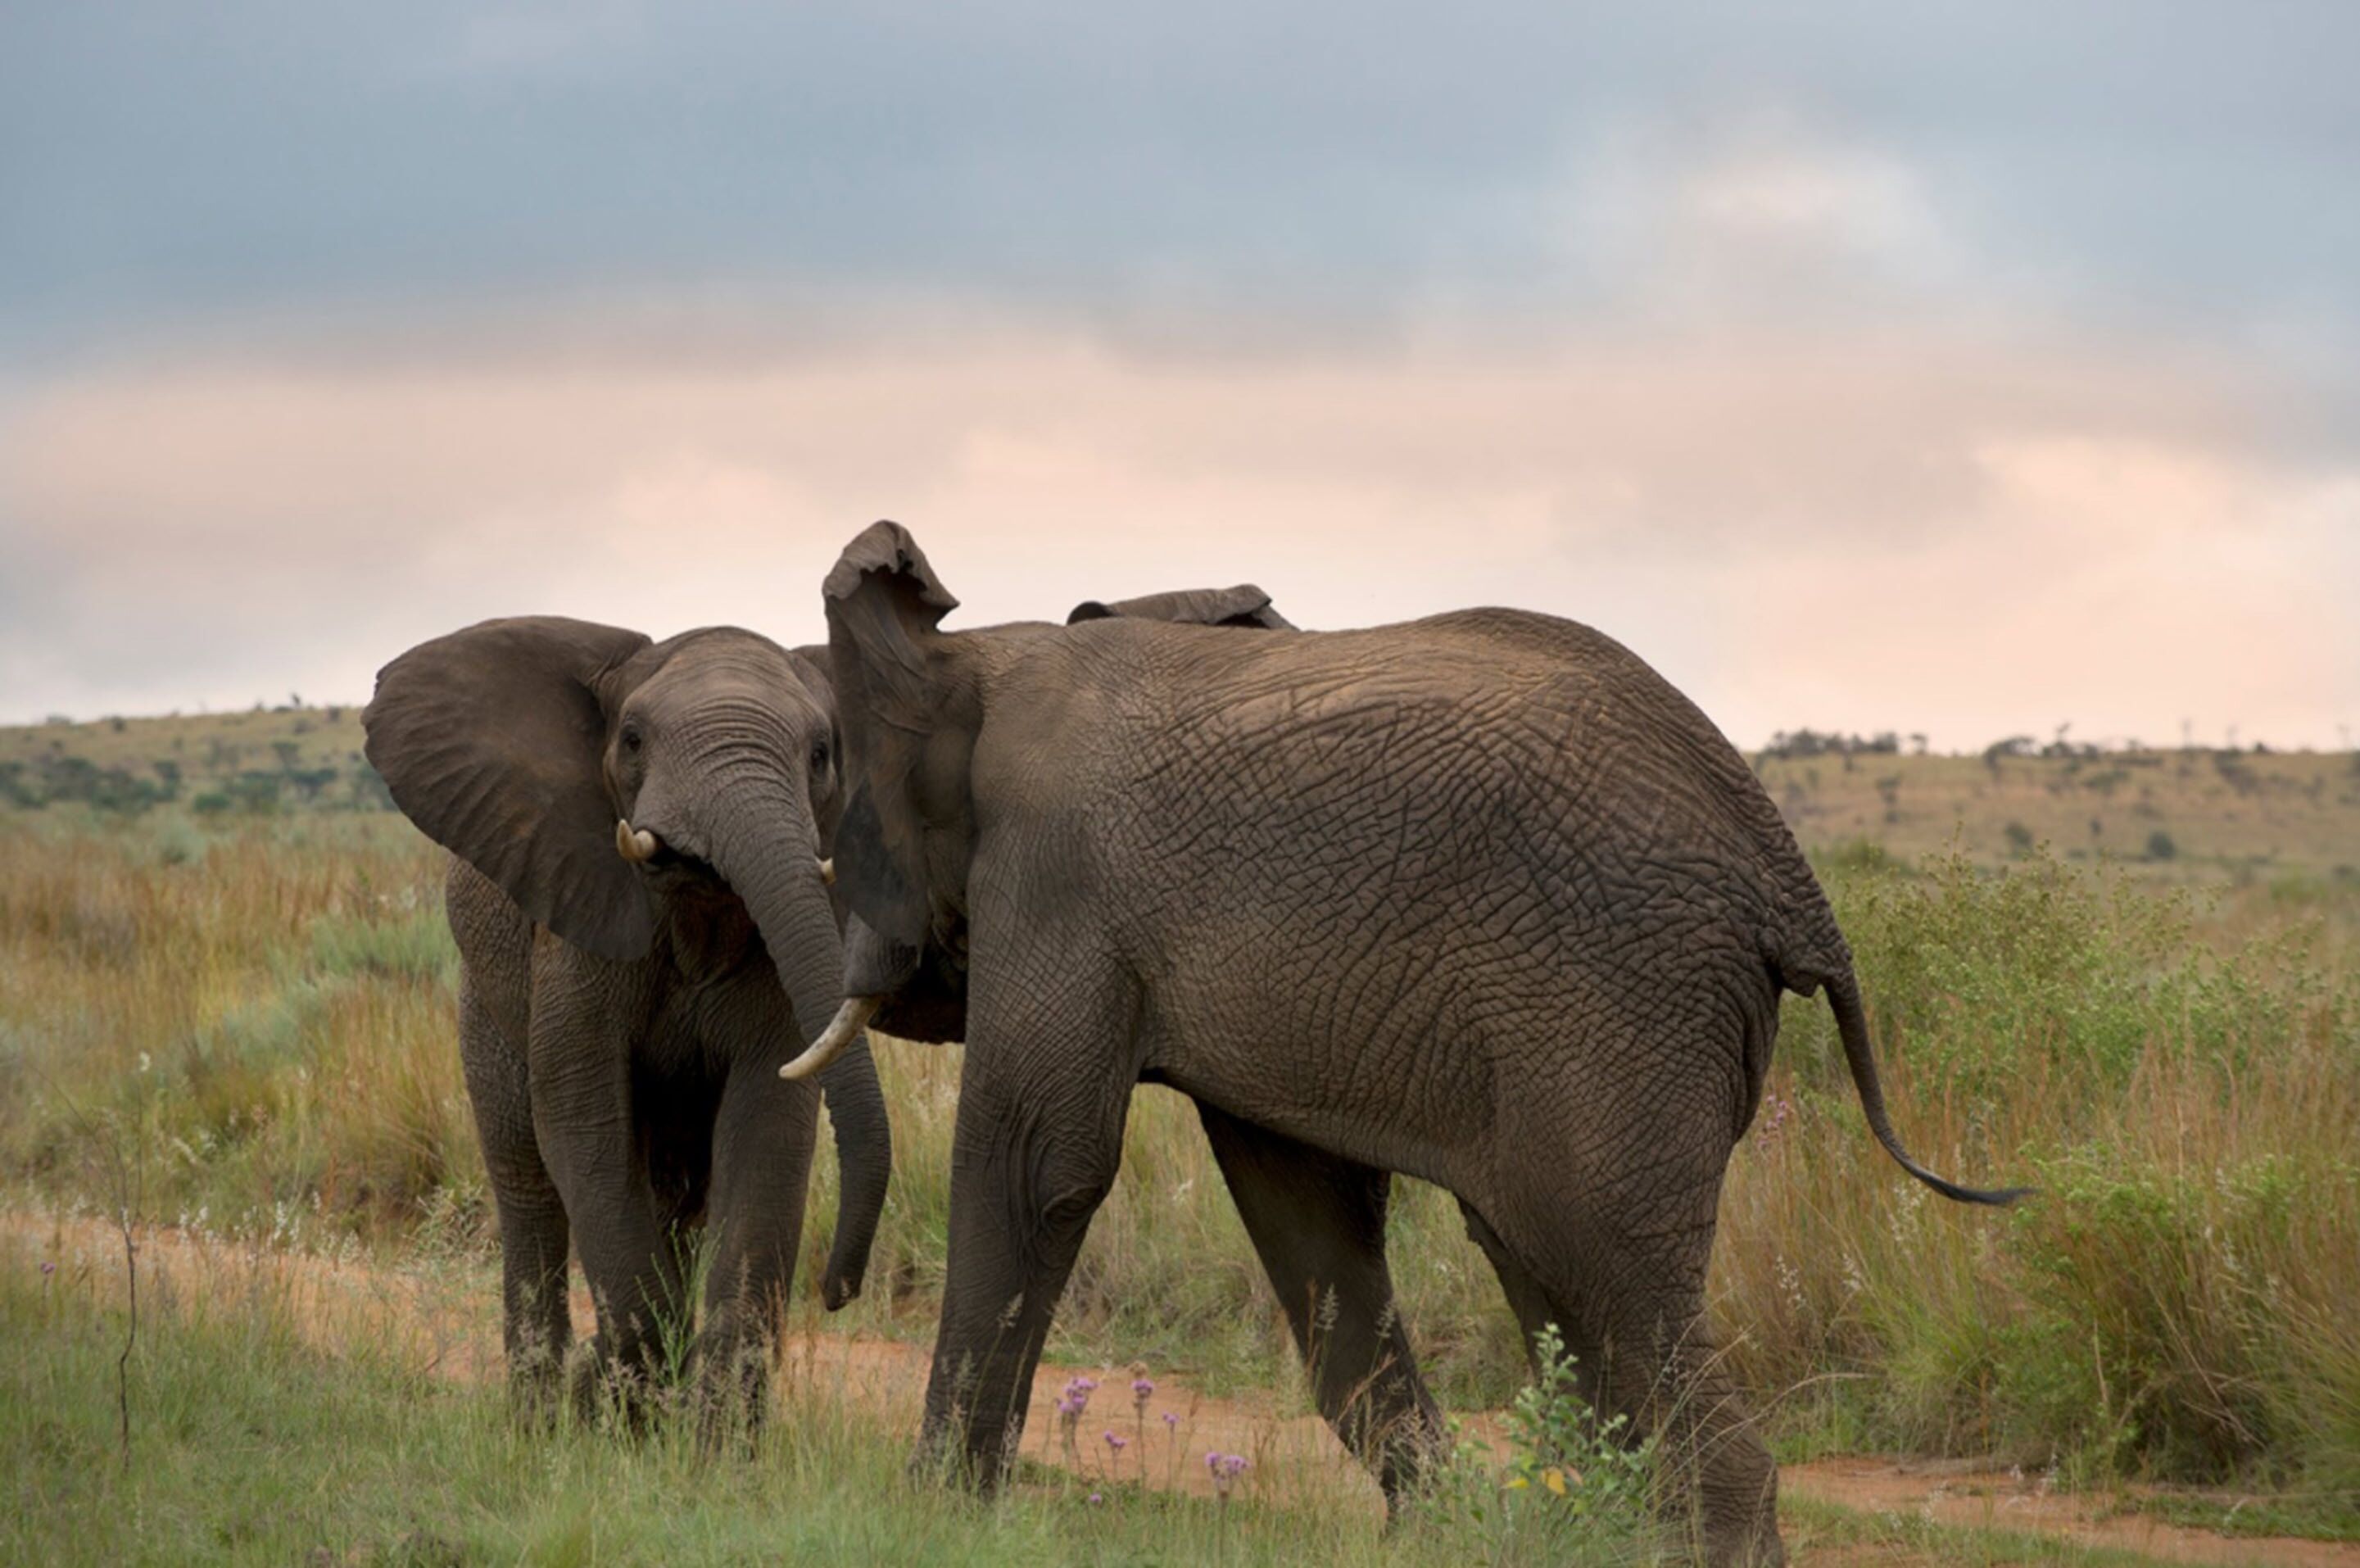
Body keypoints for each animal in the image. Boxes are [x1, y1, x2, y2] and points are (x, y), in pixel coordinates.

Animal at [363, 618, 891, 1426]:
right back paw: (538, 1415)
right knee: (527, 1183)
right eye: (634, 739)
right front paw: (605, 1401)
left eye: (821, 753)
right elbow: (580, 1113)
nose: (838, 1292)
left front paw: (711, 1445)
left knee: (679, 1201)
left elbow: (767, 1124)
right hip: (484, 1000)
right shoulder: (576, 930)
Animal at [783, 523, 2024, 1566]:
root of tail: (1790, 877)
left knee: (1603, 1260)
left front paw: (932, 1513)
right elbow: (1307, 1211)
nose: (834, 1294)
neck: (979, 657)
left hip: (1621, 1001)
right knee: (1554, 1264)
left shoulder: (1056, 880)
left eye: (827, 793)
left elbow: (1038, 1165)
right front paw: (1435, 1522)